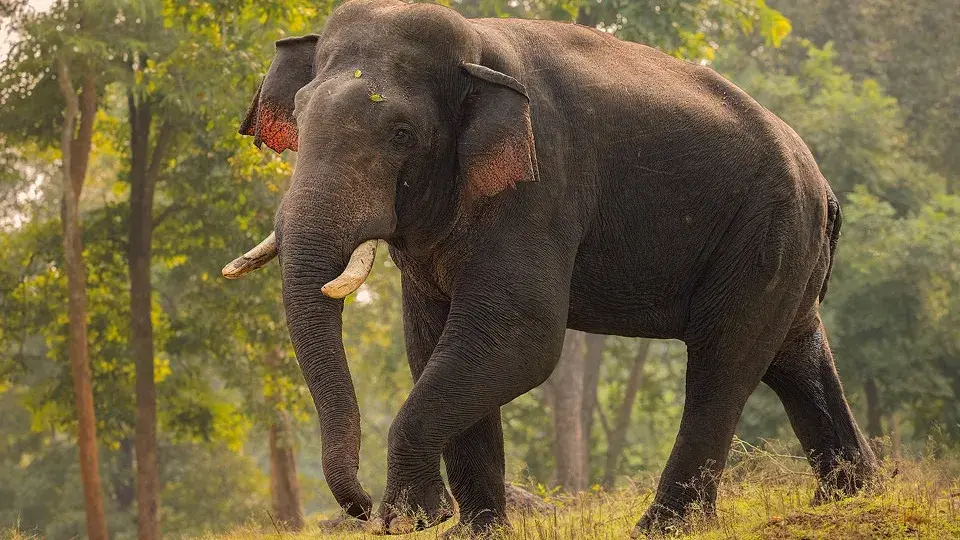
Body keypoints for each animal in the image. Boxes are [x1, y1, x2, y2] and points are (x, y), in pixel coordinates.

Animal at [222, 0, 878, 536]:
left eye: (403, 132)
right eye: (299, 117)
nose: (360, 508)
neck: (476, 47)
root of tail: (823, 185)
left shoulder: (540, 185)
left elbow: (520, 336)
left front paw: (414, 519)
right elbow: (431, 338)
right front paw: (473, 532)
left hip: (765, 228)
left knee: (724, 359)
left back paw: (662, 528)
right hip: (786, 244)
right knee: (794, 353)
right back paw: (851, 499)